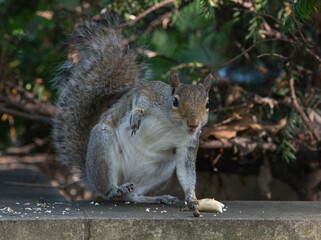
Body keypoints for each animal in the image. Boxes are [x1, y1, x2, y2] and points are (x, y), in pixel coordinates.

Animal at [52, 20, 211, 204]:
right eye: (175, 101)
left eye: (208, 104)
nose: (193, 124)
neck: (174, 125)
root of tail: (89, 176)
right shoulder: (153, 91)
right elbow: (142, 95)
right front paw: (136, 115)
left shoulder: (189, 144)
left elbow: (187, 173)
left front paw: (192, 198)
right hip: (102, 145)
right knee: (106, 188)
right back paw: (114, 189)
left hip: (161, 169)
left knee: (133, 195)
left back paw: (154, 198)